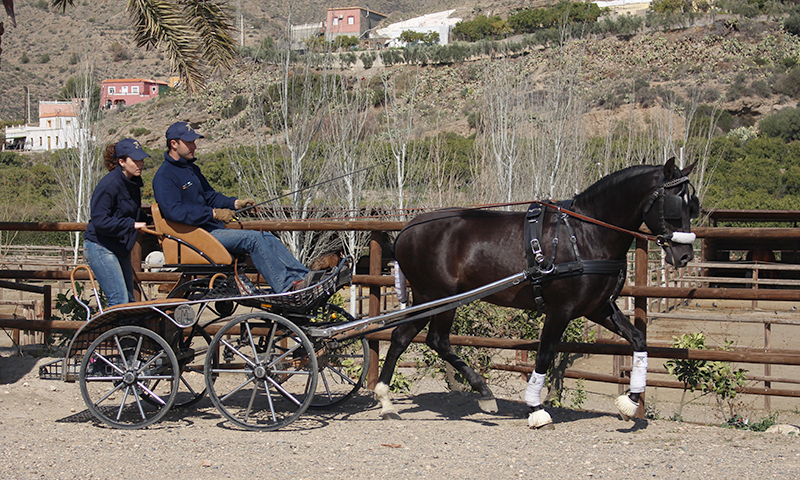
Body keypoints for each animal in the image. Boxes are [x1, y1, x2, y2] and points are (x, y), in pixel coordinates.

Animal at [376, 159, 699, 428]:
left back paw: (387, 400)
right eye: (674, 204)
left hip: (430, 298)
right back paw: (481, 392)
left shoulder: (599, 308)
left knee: (408, 337)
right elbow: (544, 355)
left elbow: (638, 340)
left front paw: (630, 402)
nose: (684, 255)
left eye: (692, 205)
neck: (584, 235)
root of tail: (408, 228)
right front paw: (536, 409)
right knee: (434, 340)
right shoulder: (560, 310)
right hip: (438, 296)